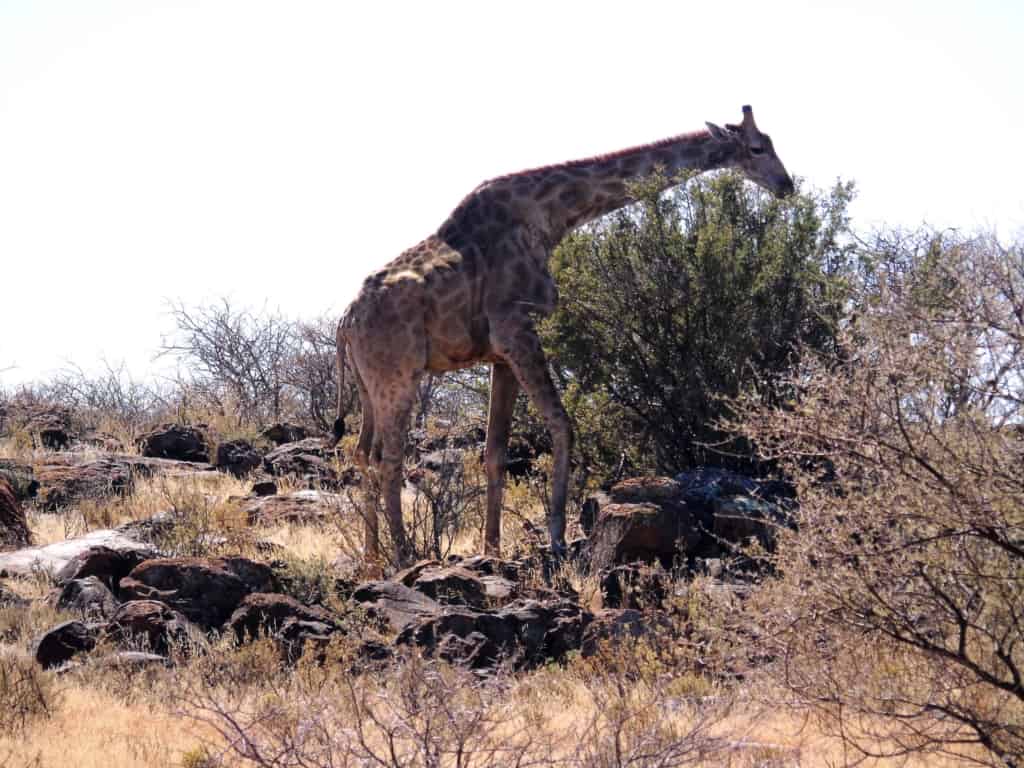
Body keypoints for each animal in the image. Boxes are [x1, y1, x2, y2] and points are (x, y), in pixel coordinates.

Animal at [333, 105, 790, 569]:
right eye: (757, 148)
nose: (785, 186)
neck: (551, 219)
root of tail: (346, 322)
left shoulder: (500, 354)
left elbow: (495, 452)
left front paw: (492, 549)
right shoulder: (517, 328)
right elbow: (562, 424)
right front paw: (555, 538)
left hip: (369, 385)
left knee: (364, 453)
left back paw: (371, 557)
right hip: (399, 377)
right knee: (390, 458)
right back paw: (403, 555)